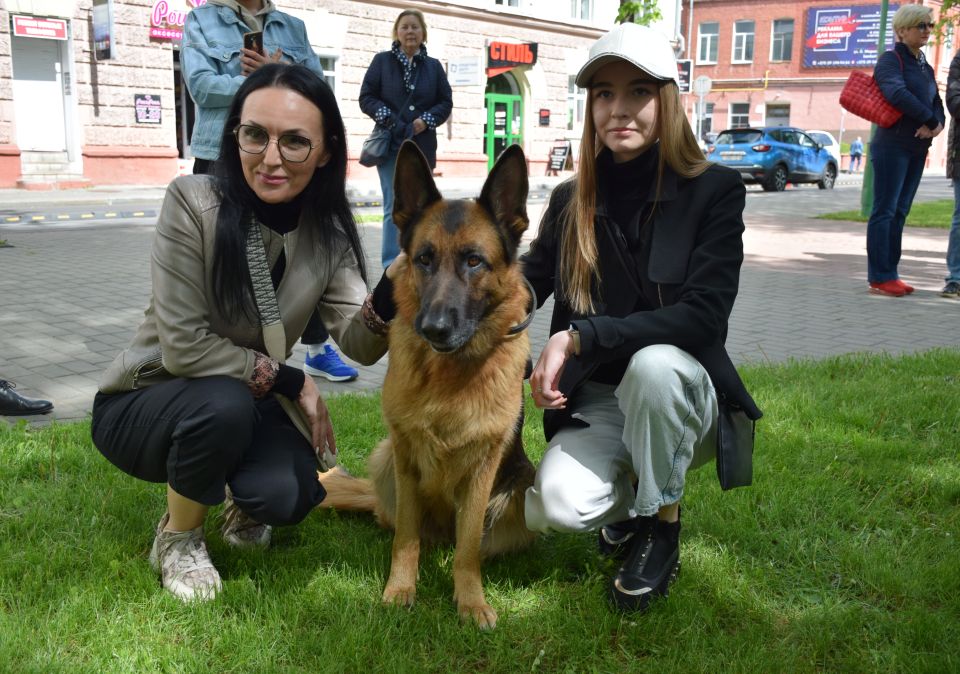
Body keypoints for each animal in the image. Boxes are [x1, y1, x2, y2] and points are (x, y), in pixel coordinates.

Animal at [320, 140, 532, 624]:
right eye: (423, 260)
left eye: (474, 261)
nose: (434, 328)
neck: (448, 377)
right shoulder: (406, 459)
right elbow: (406, 539)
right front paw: (400, 589)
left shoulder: (481, 472)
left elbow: (468, 548)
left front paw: (470, 600)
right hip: (385, 457)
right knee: (398, 524)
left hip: (518, 495)